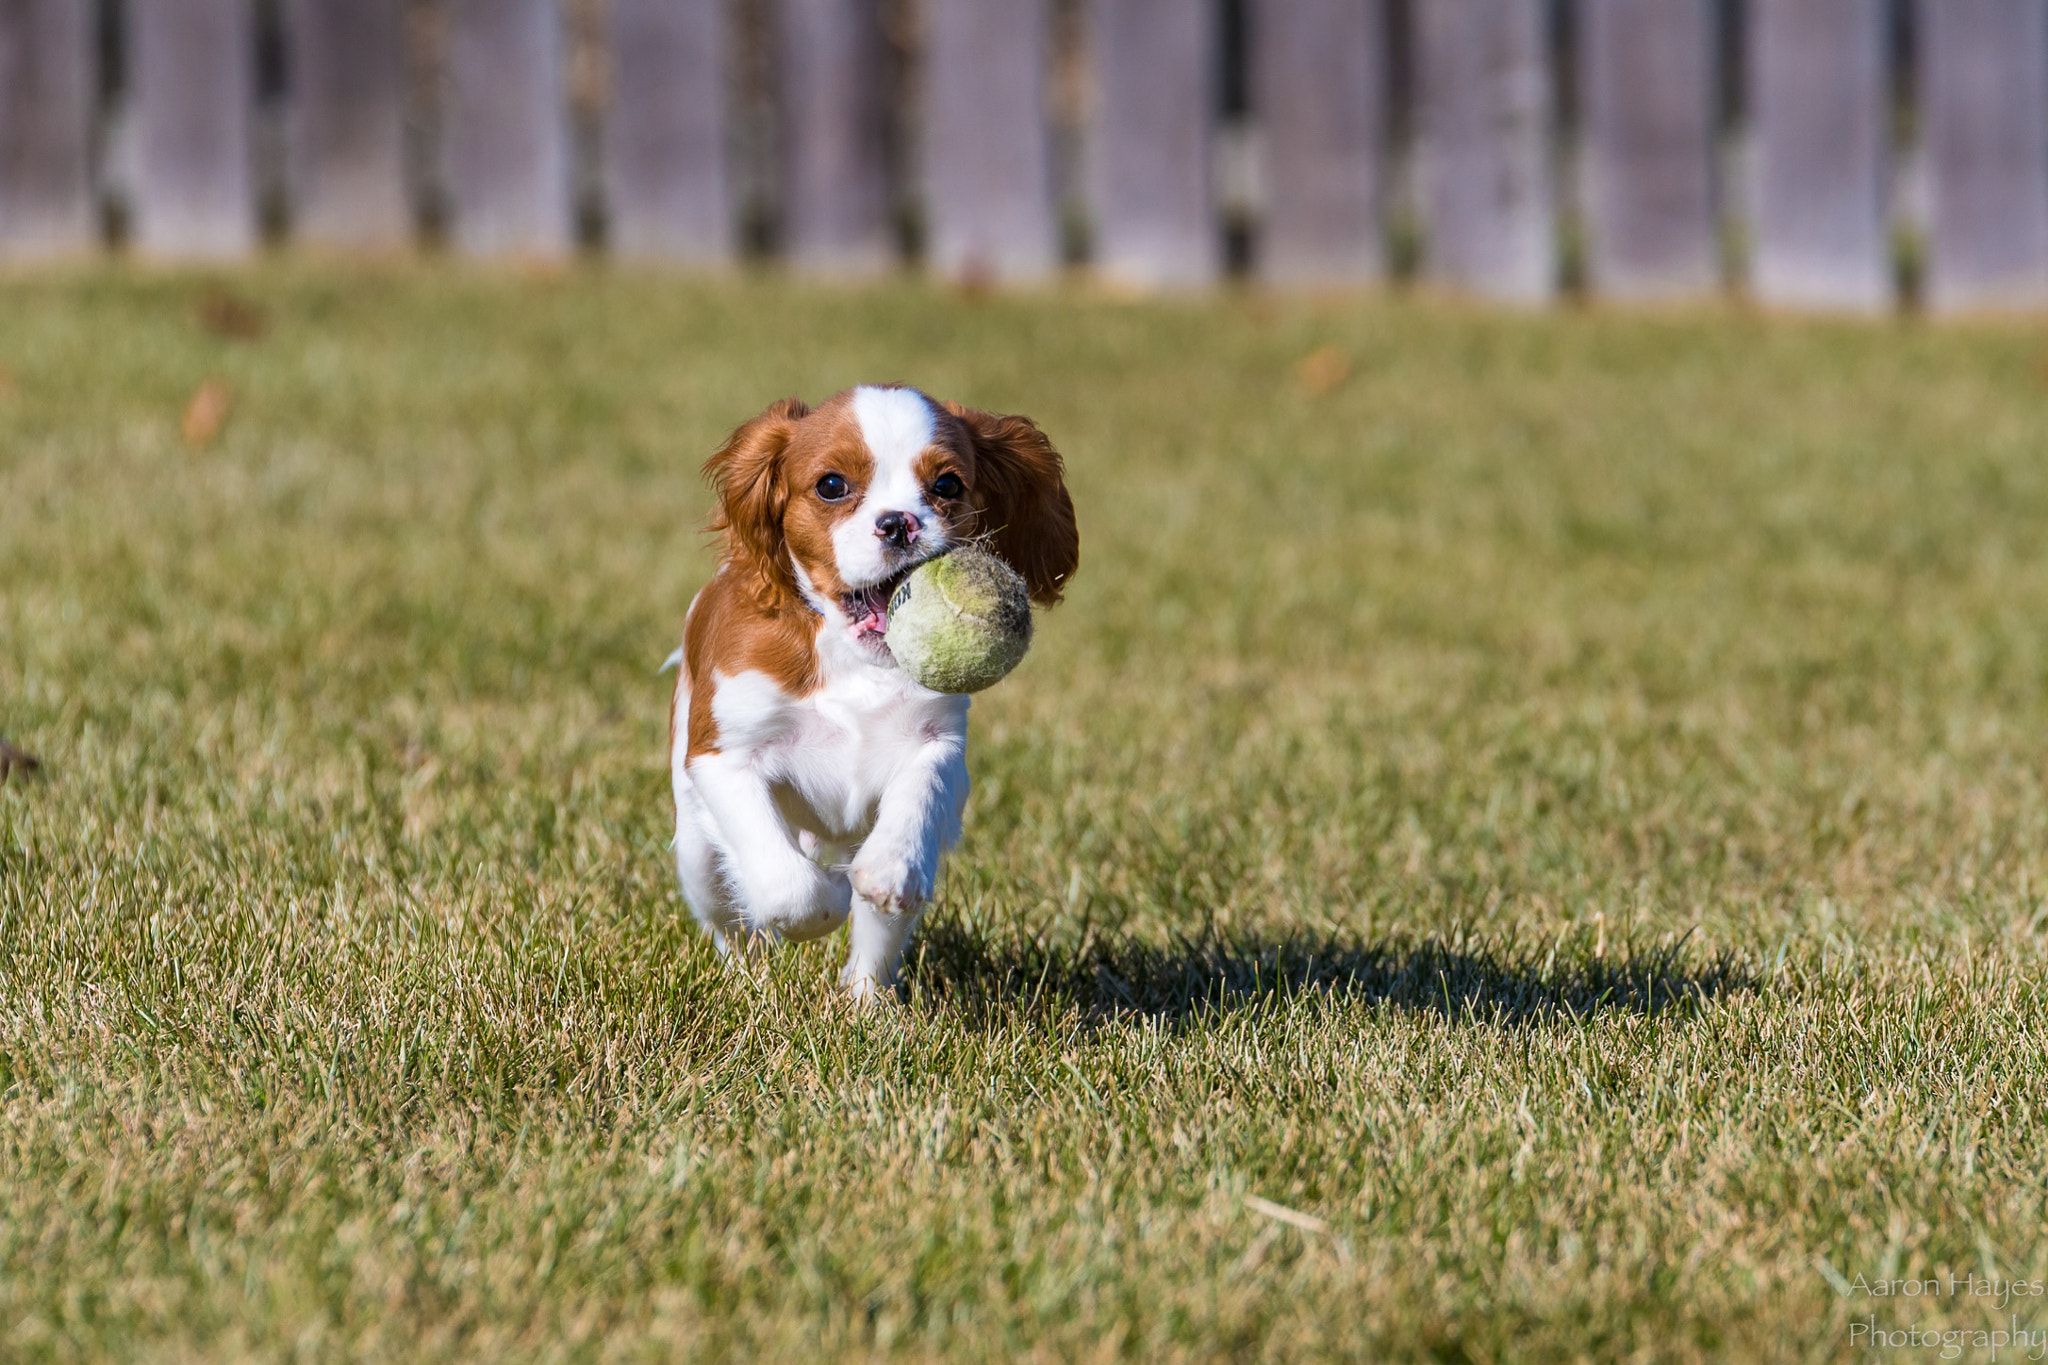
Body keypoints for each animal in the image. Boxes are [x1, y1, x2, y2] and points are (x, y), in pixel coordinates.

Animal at [675, 388, 1089, 998]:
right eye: (831, 485)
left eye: (947, 485)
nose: (899, 523)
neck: (854, 658)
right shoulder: (724, 754)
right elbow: (790, 890)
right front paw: (827, 896)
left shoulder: (937, 740)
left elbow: (919, 795)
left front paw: (889, 869)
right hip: (698, 854)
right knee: (731, 924)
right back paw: (751, 982)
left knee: (877, 936)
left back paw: (866, 1004)